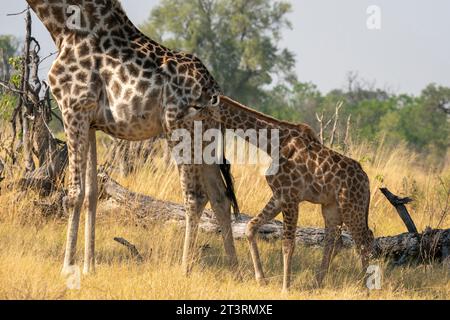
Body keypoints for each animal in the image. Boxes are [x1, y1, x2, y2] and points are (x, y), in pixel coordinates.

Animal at [25, 0, 241, 276]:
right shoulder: (91, 122)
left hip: (180, 129)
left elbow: (74, 193)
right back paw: (234, 269)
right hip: (206, 137)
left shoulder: (73, 108)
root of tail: (213, 91)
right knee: (221, 197)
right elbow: (92, 193)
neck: (62, 28)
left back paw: (185, 270)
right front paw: (89, 267)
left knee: (196, 196)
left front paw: (68, 268)